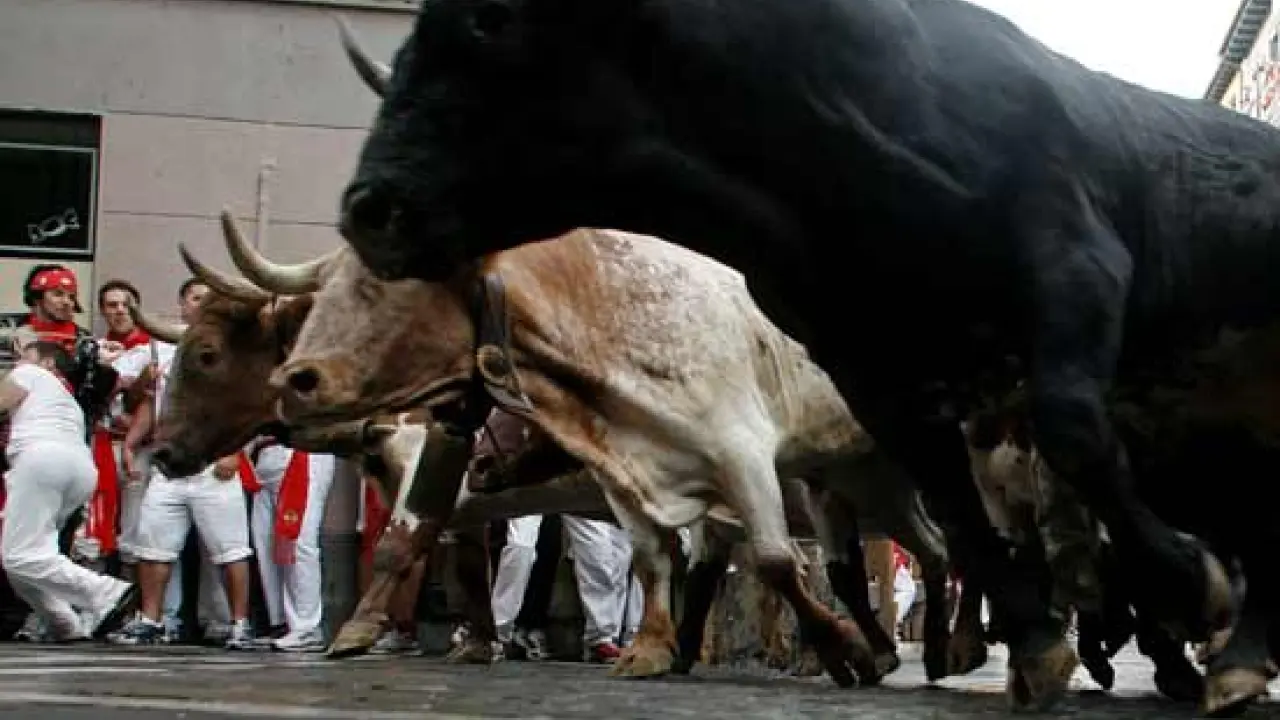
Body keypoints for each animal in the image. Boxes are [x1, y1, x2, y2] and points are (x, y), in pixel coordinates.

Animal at [143, 215, 981, 681]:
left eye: (207, 354)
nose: (160, 453)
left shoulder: (740, 456)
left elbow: (402, 546)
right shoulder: (555, 477)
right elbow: (471, 559)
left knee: (914, 554)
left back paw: (921, 647)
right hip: (849, 480)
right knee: (897, 556)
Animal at [325, 3, 1280, 711]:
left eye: (489, 21)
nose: (368, 206)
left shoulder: (1073, 266)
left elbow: (1074, 434)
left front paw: (1189, 587)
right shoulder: (872, 368)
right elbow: (955, 512)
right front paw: (1040, 647)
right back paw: (1232, 657)